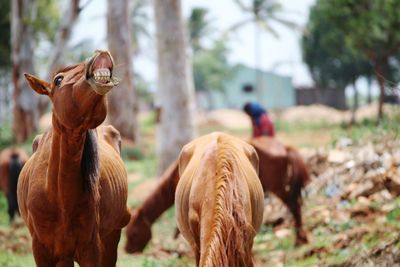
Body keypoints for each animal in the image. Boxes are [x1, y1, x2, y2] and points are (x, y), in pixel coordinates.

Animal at [17, 50, 130, 267]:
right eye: (58, 80)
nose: (101, 54)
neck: (60, 199)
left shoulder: (91, 248)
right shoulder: (42, 250)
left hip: (111, 238)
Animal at [125, 136, 310, 253]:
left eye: (133, 233)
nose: (128, 250)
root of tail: (284, 146)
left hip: (277, 187)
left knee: (294, 206)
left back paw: (300, 240)